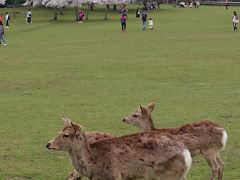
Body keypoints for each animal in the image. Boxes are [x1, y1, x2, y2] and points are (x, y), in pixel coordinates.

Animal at [47, 116, 193, 180]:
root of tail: (186, 154)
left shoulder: (114, 175)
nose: (48, 144)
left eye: (66, 135)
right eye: (59, 131)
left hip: (168, 174)